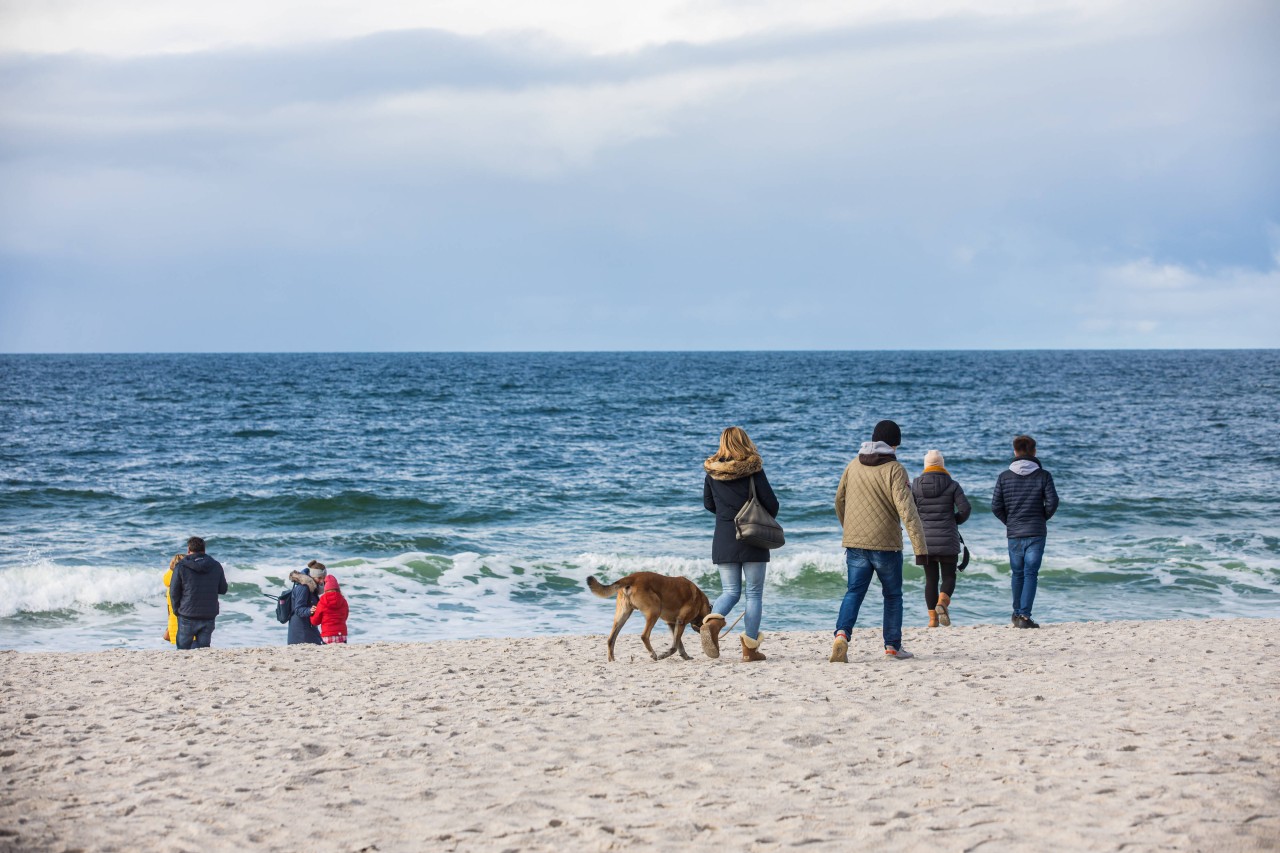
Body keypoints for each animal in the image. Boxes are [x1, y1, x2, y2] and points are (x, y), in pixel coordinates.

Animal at [586, 573, 716, 660]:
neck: (701, 601)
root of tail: (632, 577)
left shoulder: (672, 624)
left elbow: (679, 644)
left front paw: (685, 656)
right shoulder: (681, 622)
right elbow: (675, 645)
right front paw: (664, 655)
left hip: (623, 615)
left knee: (611, 639)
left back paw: (612, 660)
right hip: (654, 611)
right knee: (644, 636)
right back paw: (653, 654)